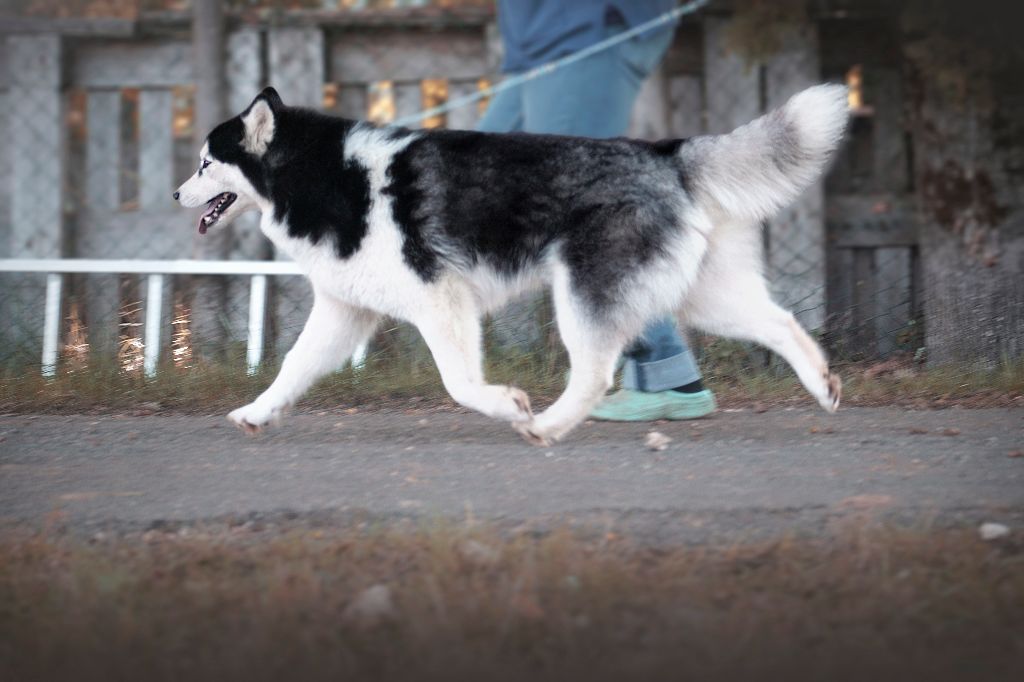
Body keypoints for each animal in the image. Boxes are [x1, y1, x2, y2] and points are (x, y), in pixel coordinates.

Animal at [174, 83, 847, 446]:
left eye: (206, 163)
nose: (175, 194)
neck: (325, 175)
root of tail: (665, 152)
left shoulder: (440, 299)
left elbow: (459, 383)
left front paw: (507, 405)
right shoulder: (345, 311)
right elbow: (291, 367)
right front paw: (257, 413)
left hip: (582, 296)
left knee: (594, 374)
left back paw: (546, 426)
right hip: (703, 297)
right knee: (782, 323)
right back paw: (823, 384)